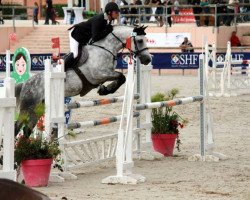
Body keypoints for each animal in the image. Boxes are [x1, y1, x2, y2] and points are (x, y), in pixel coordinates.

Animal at [16, 25, 152, 134]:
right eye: (140, 40)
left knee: (27, 129)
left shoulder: (103, 76)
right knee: (17, 126)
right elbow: (121, 76)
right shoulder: (99, 74)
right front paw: (107, 90)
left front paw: (105, 89)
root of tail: (25, 84)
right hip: (28, 107)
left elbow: (120, 78)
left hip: (37, 109)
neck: (105, 49)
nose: (148, 59)